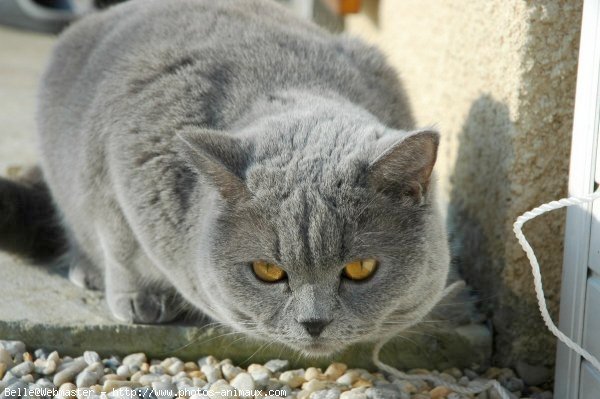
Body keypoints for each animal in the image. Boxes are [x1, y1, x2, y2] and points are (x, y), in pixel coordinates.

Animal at [2, 0, 450, 356]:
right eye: (267, 271)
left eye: (361, 268)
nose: (314, 322)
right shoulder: (114, 164)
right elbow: (119, 242)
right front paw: (138, 300)